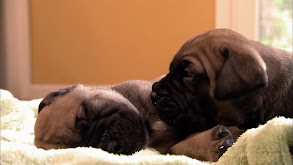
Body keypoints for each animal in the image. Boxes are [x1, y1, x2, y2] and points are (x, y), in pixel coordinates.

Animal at [34, 80, 233, 162]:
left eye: (88, 113)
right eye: (86, 148)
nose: (111, 143)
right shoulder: (166, 148)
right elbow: (182, 147)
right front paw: (212, 144)